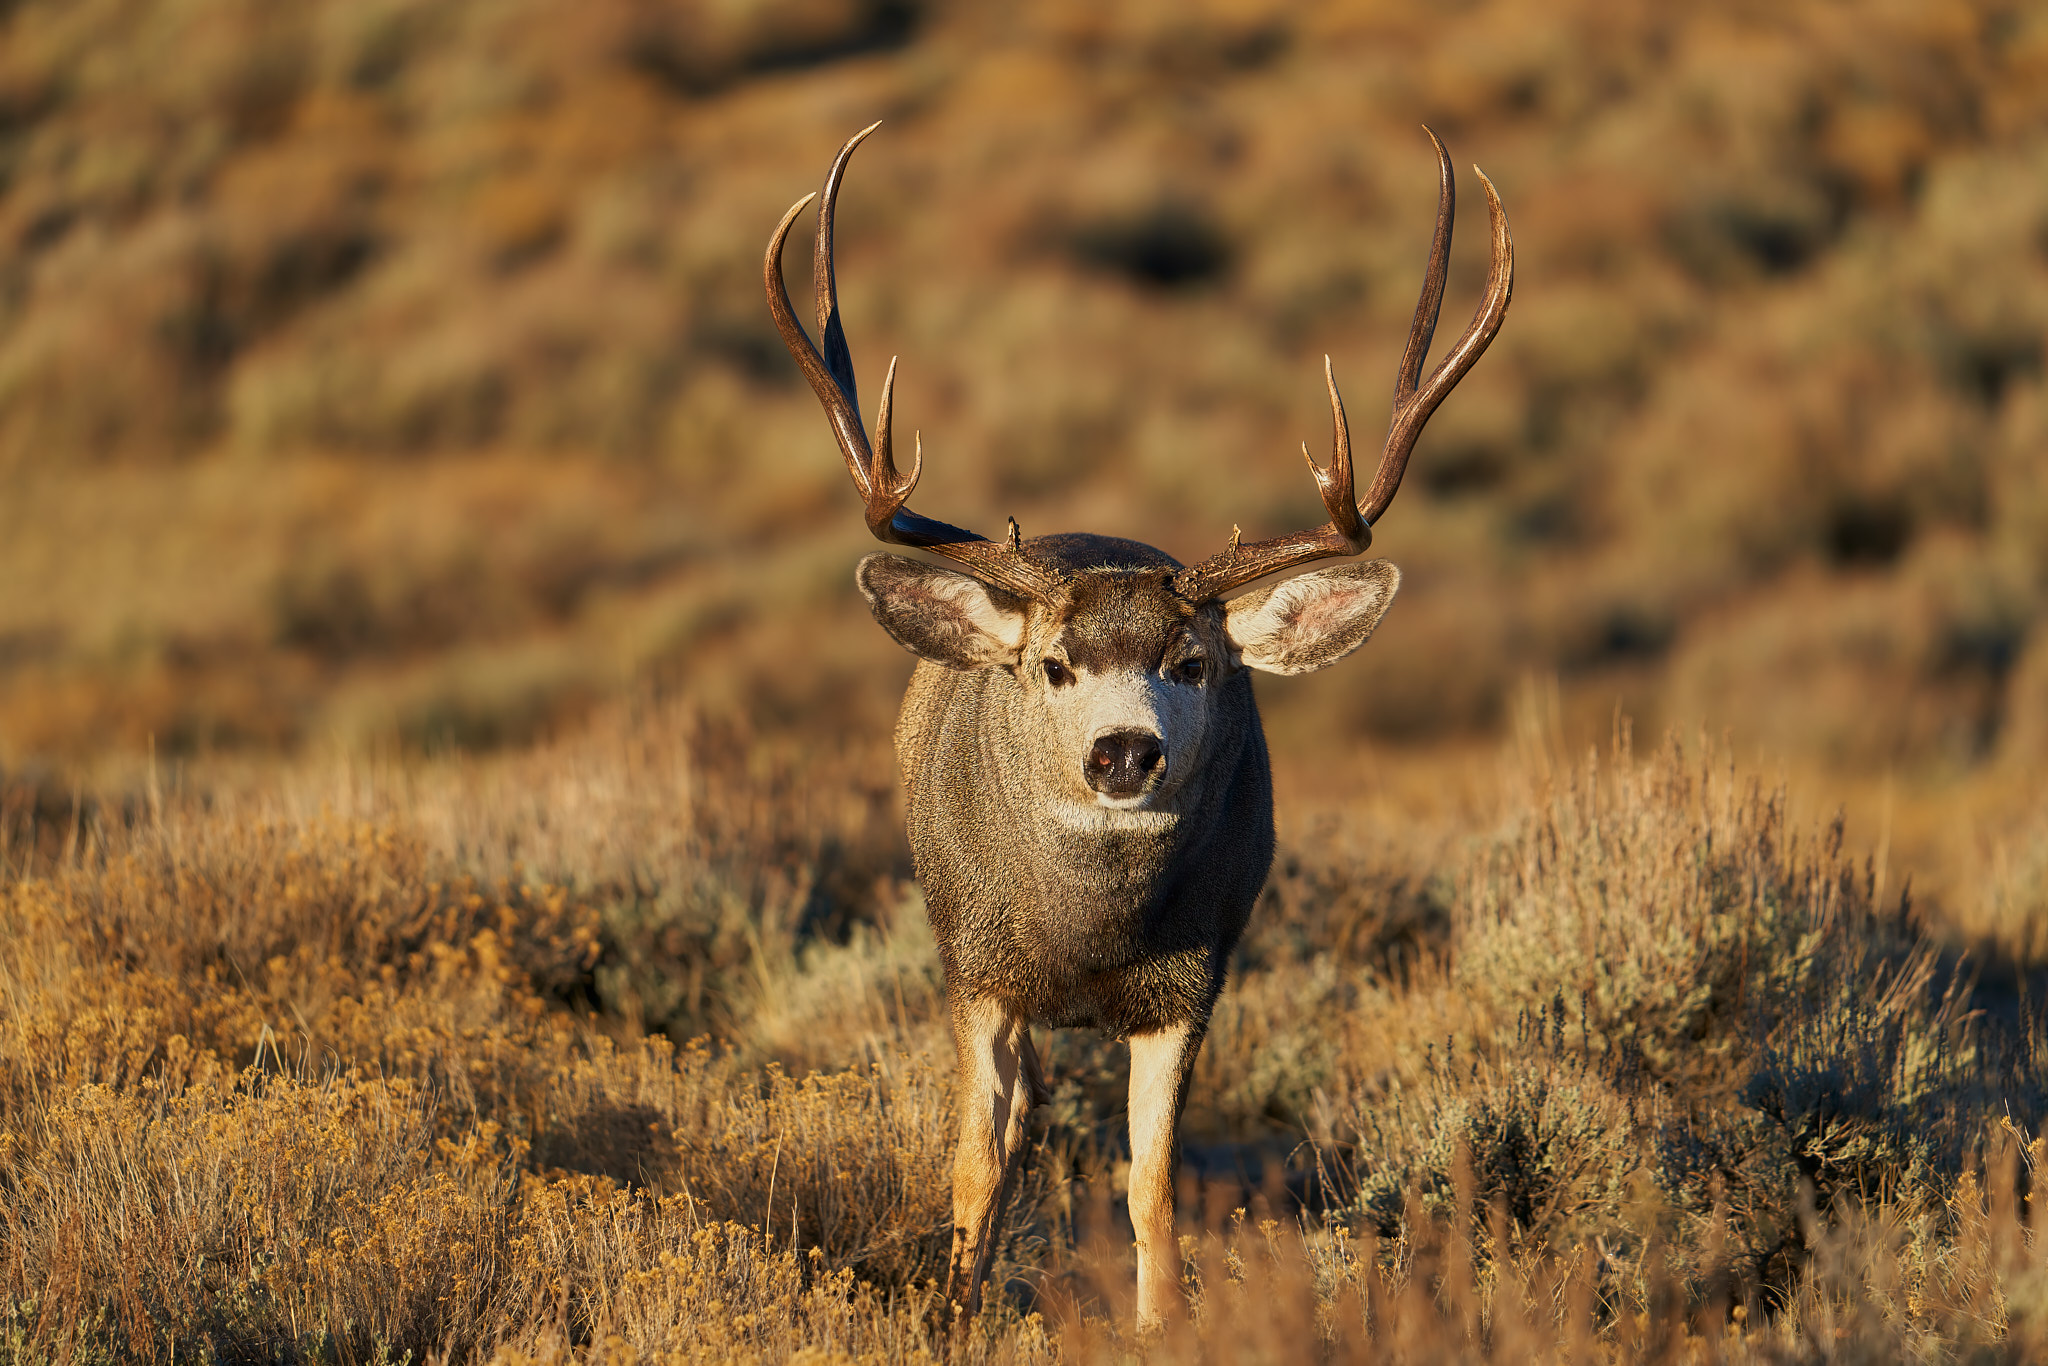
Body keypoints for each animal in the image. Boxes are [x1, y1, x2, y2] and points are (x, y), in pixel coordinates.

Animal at [764, 124, 1511, 1330]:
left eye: (1192, 663)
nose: (1124, 751)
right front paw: (956, 1311)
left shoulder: (1193, 980)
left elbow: (1150, 1182)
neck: (1089, 941)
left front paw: (1165, 1322)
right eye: (1054, 665)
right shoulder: (976, 969)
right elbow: (974, 1158)